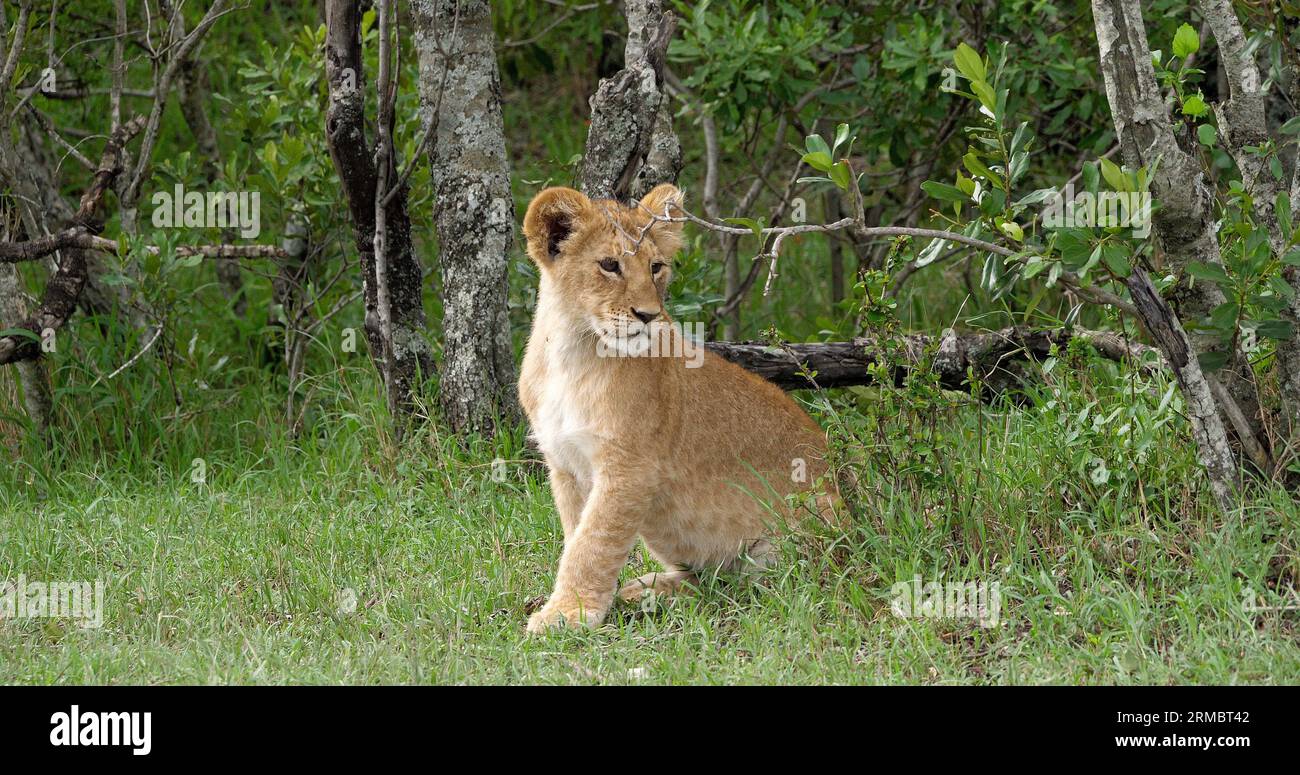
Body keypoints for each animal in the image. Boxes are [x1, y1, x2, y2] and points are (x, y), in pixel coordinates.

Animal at [518, 183, 834, 633]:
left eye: (656, 267)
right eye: (610, 265)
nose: (649, 315)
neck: (572, 351)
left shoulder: (630, 468)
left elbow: (593, 542)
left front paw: (568, 612)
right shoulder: (564, 463)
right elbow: (576, 533)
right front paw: (579, 605)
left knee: (763, 587)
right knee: (714, 580)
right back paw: (645, 590)